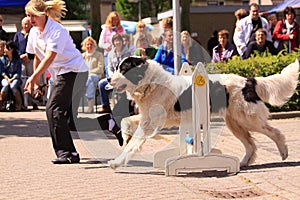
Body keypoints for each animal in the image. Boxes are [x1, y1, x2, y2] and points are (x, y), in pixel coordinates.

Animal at [108, 56, 300, 169]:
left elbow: (133, 144)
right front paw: (125, 136)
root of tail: (248, 81)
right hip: (235, 123)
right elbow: (126, 120)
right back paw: (244, 163)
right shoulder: (147, 118)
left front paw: (117, 162)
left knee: (274, 132)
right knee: (250, 144)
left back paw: (283, 152)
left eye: (123, 69)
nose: (108, 79)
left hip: (247, 118)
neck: (150, 83)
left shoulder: (151, 122)